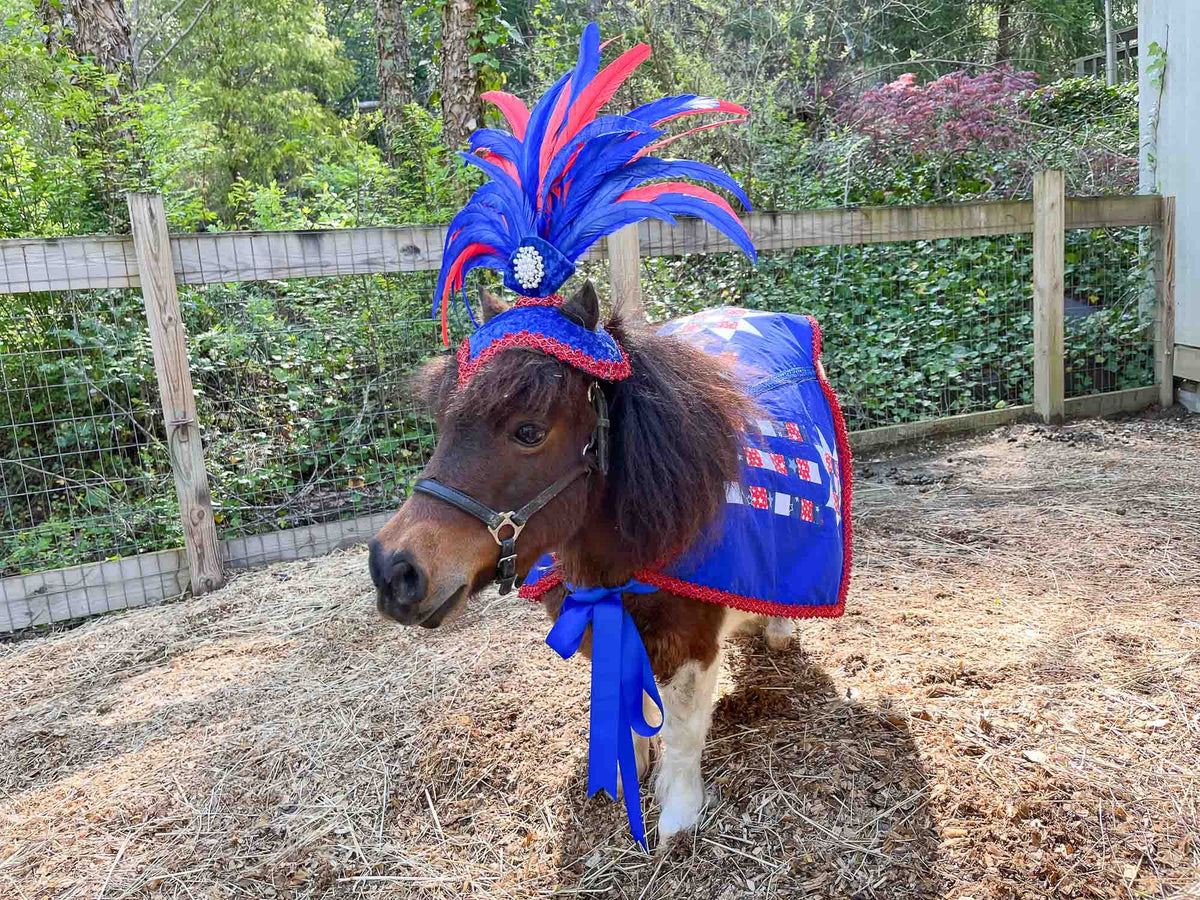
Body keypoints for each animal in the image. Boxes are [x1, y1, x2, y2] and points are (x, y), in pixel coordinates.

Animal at [368, 281, 846, 843]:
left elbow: (683, 731)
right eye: (443, 425)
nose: (393, 572)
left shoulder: (691, 644)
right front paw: (628, 772)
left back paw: (776, 630)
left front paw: (678, 816)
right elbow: (629, 706)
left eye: (529, 432)